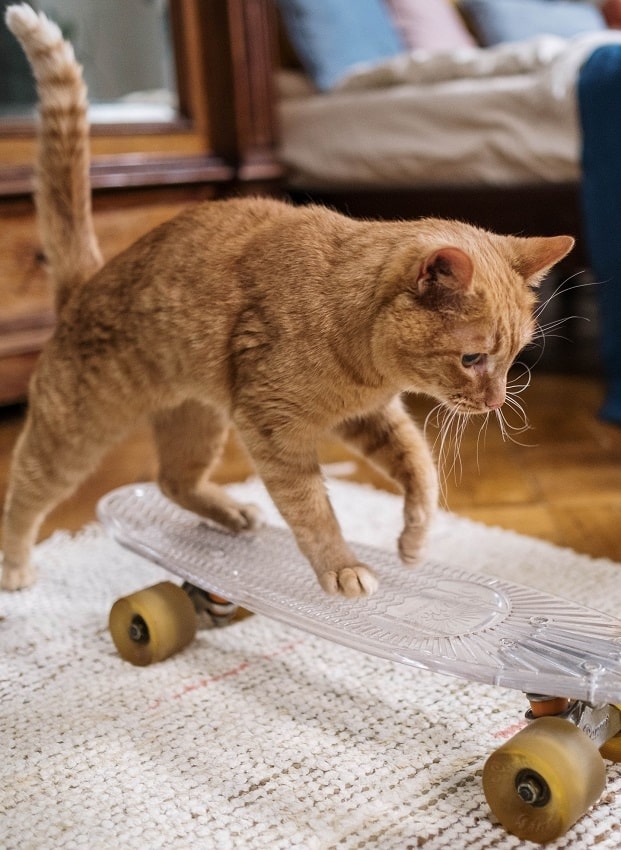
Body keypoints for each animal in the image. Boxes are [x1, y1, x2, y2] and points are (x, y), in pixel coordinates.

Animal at [0, 3, 572, 596]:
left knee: (173, 479)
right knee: (24, 493)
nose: (496, 402)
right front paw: (341, 566)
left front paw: (413, 540)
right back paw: (16, 567)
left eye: (514, 358)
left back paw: (231, 512)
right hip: (75, 435)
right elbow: (312, 508)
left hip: (197, 421)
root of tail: (86, 281)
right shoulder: (273, 430)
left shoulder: (369, 417)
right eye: (473, 358)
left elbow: (420, 468)